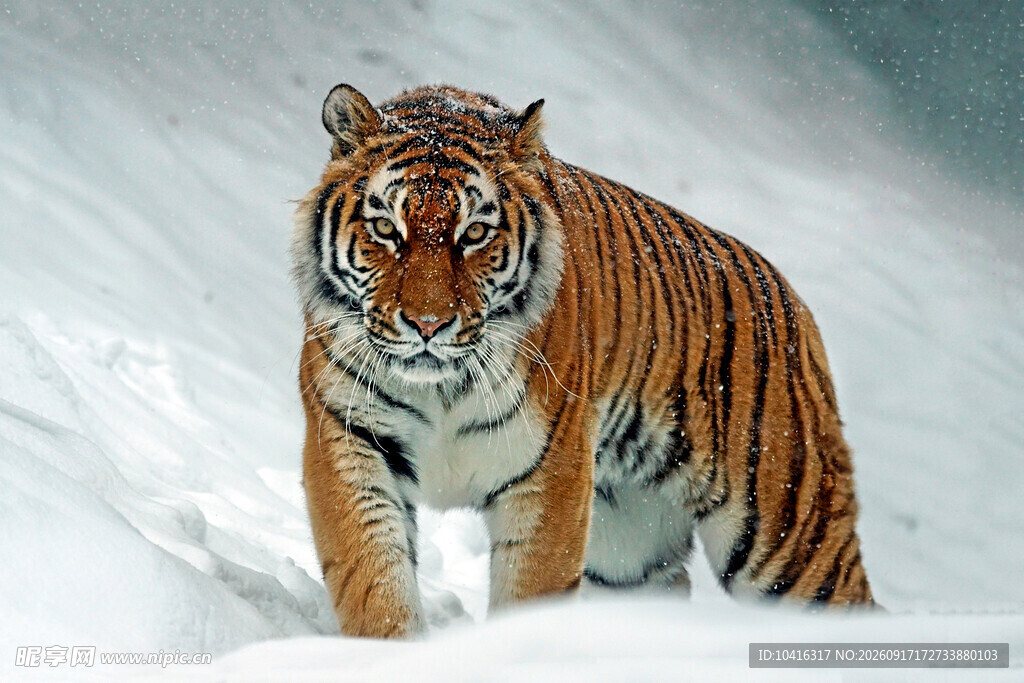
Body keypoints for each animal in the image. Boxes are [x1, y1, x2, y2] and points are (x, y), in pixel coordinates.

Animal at [292, 83, 875, 638]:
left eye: (474, 233)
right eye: (386, 229)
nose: (429, 324)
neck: (441, 388)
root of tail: (795, 304)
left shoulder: (552, 472)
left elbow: (530, 594)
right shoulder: (350, 440)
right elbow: (373, 582)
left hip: (790, 536)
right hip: (629, 550)